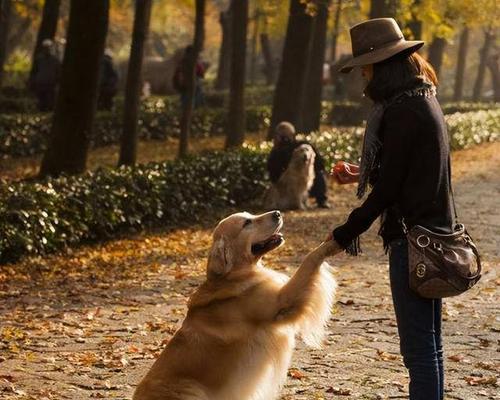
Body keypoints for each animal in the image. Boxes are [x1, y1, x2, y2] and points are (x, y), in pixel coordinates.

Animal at [133, 211, 336, 398]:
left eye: (251, 215)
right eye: (247, 223)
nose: (278, 213)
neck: (235, 275)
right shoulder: (282, 303)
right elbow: (310, 259)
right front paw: (330, 244)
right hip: (192, 390)